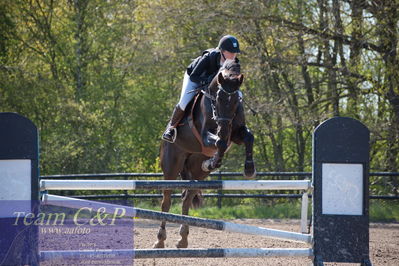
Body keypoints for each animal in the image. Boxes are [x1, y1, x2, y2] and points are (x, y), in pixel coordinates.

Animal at [153, 59, 256, 248]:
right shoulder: (205, 134)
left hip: (197, 172)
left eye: (236, 101)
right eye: (218, 98)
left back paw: (183, 239)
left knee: (186, 199)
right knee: (166, 202)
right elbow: (220, 143)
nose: (223, 129)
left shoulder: (236, 132)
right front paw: (214, 161)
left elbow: (248, 138)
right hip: (171, 166)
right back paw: (160, 240)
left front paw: (249, 169)